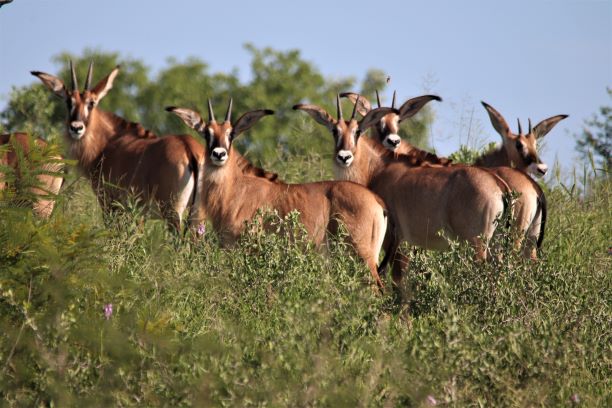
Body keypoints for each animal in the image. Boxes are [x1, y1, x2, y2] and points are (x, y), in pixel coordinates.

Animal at [165, 99, 390, 288]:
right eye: (207, 133)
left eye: (231, 133)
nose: (219, 154)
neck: (236, 189)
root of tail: (376, 200)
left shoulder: (248, 251)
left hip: (361, 257)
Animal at [294, 97, 510, 286]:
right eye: (334, 130)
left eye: (358, 131)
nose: (344, 157)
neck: (377, 169)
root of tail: (498, 184)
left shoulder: (396, 241)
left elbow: (399, 280)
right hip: (496, 247)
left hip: (476, 245)